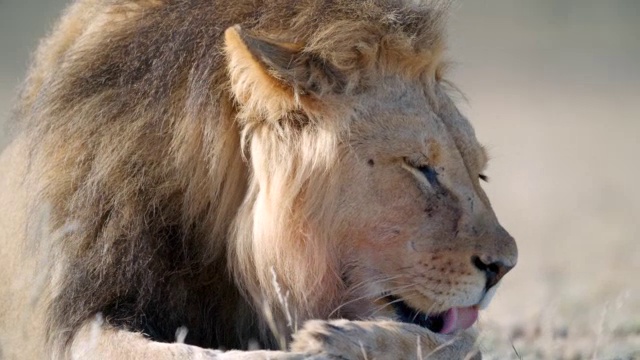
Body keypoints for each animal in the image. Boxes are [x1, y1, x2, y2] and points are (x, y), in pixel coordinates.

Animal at [0, 0, 516, 360]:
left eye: (480, 170)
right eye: (420, 167)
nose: (504, 267)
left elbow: (460, 341)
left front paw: (340, 341)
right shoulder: (77, 311)